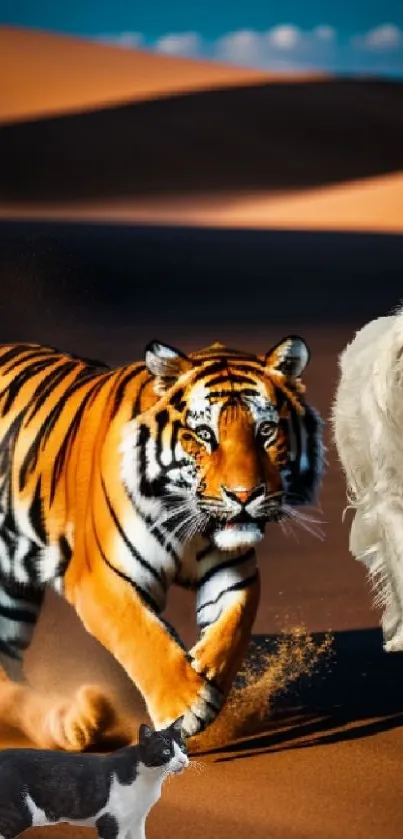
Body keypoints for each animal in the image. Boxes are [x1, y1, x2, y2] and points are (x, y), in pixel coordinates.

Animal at [0, 334, 326, 748]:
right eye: (205, 435)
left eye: (266, 431)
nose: (244, 495)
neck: (189, 522)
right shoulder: (100, 579)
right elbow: (143, 638)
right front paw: (186, 705)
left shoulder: (233, 572)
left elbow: (233, 627)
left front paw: (204, 668)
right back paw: (79, 723)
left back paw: (74, 723)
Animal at [0, 716, 188, 839]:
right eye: (166, 751)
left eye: (183, 747)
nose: (183, 760)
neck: (150, 779)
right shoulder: (111, 824)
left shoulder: (136, 821)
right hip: (16, 815)